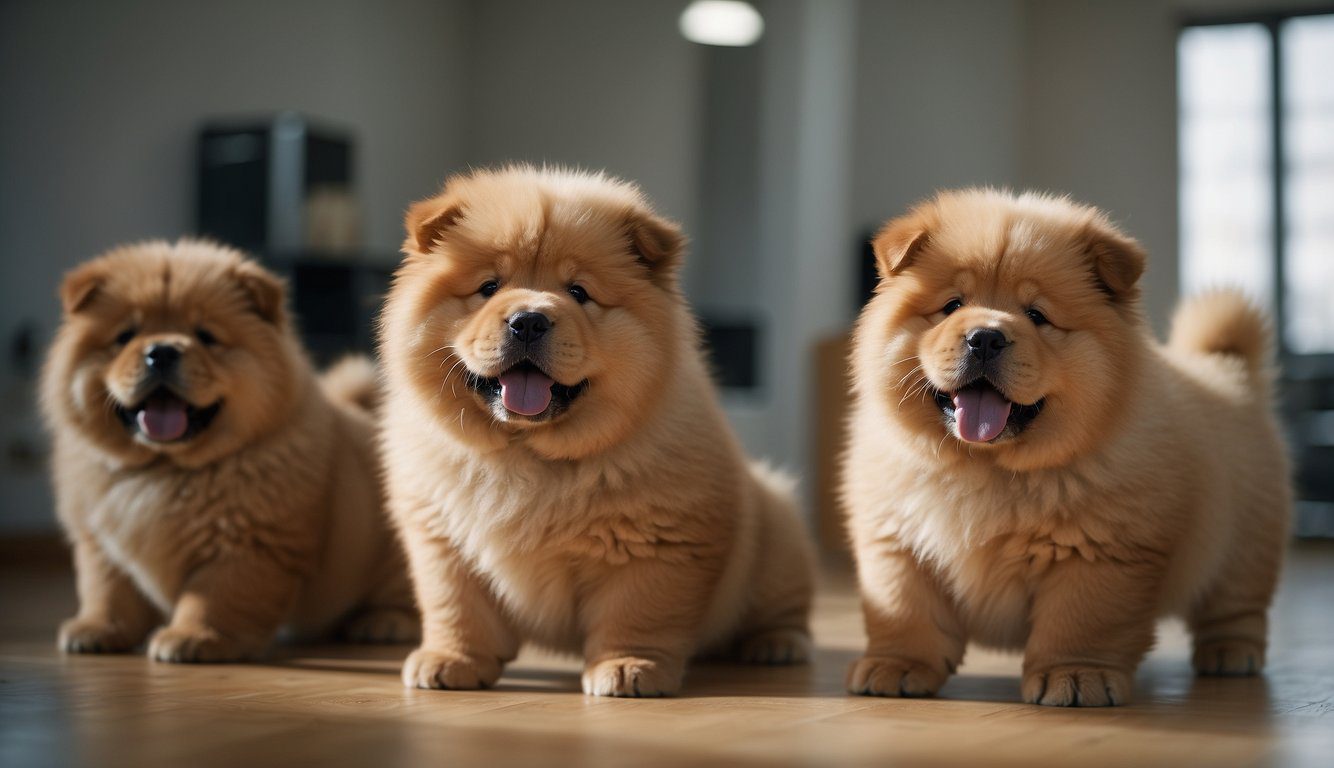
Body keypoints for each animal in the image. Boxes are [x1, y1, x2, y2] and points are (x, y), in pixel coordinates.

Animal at [41, 240, 413, 661]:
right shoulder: (101, 543)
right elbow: (107, 592)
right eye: (125, 336)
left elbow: (213, 598)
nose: (162, 351)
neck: (164, 472)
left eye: (206, 336)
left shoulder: (246, 544)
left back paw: (382, 622)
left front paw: (192, 638)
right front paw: (96, 630)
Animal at [376, 166, 811, 693]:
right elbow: (457, 608)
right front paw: (451, 661)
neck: (527, 457)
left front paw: (629, 667)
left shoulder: (657, 544)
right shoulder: (443, 540)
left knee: (784, 608)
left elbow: (637, 613)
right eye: (488, 287)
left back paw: (775, 646)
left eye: (579, 293)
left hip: (779, 535)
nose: (528, 320)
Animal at [843, 190, 1291, 709]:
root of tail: (1226, 370)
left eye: (1037, 316)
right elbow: (906, 610)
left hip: (1245, 546)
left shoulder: (1099, 552)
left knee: (1236, 607)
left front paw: (1076, 677)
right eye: (952, 305)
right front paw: (896, 667)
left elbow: (1080, 621)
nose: (985, 336)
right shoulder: (898, 542)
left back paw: (1229, 655)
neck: (988, 471)